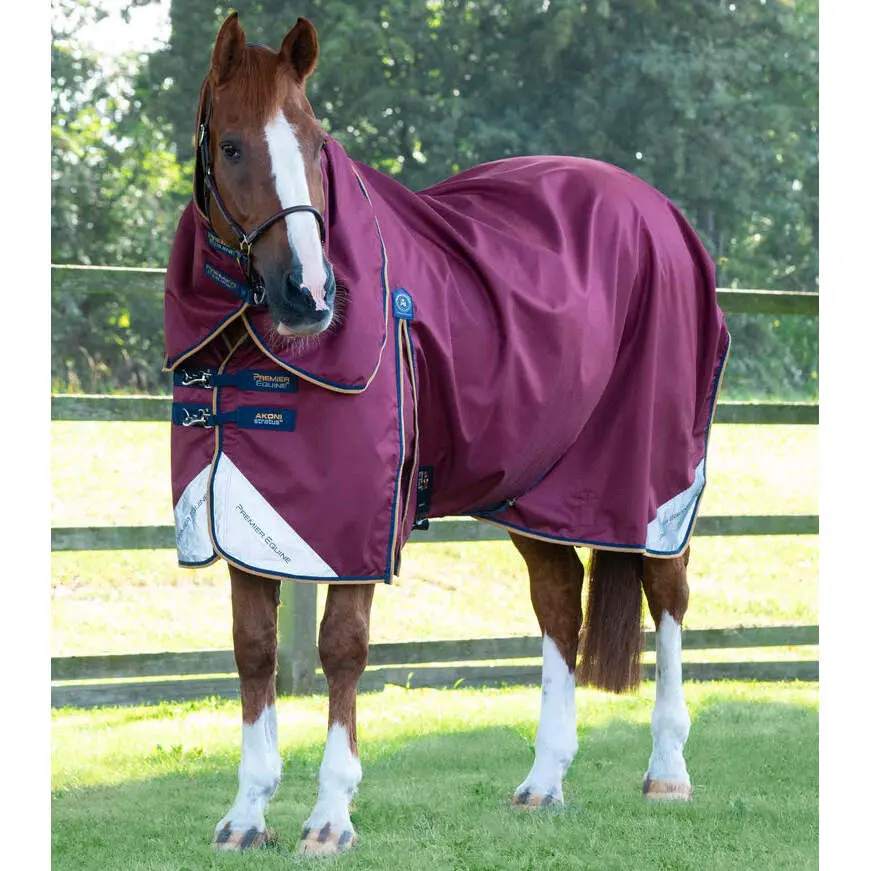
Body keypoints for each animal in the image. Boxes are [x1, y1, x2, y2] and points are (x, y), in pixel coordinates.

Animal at [163, 12, 730, 856]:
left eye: (314, 143)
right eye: (231, 146)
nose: (308, 294)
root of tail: (661, 212)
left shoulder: (353, 523)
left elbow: (341, 647)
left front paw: (330, 815)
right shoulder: (245, 512)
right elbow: (254, 647)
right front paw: (245, 815)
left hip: (652, 478)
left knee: (667, 594)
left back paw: (666, 770)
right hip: (538, 491)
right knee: (559, 601)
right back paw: (543, 780)